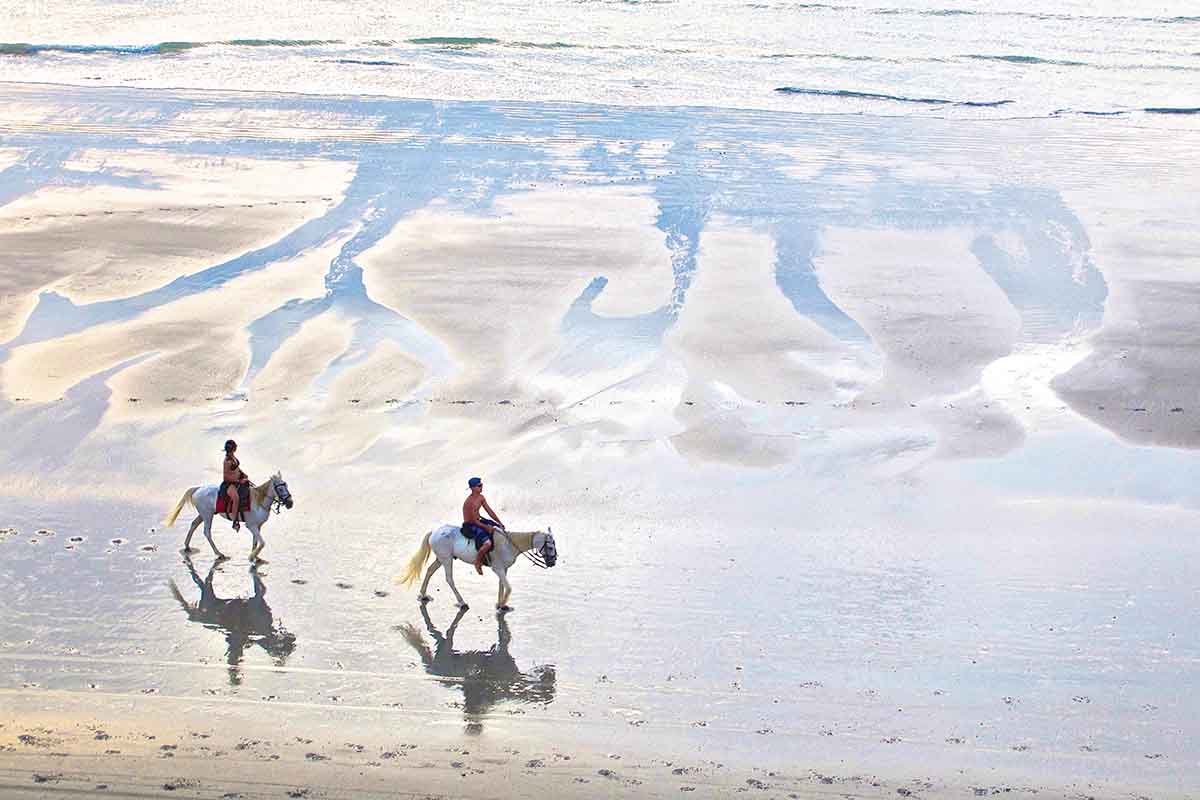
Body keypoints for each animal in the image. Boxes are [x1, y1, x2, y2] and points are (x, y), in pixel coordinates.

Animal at [163, 474, 294, 563]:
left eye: (287, 485)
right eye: (280, 488)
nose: (290, 503)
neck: (259, 501)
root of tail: (198, 488)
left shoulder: (258, 526)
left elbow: (256, 542)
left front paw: (255, 556)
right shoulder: (251, 525)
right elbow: (262, 542)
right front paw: (251, 556)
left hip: (203, 514)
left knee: (194, 524)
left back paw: (187, 546)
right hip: (207, 515)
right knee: (207, 532)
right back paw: (219, 554)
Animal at [398, 525, 556, 614]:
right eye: (549, 547)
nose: (552, 563)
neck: (509, 544)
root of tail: (435, 532)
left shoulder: (503, 570)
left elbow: (502, 586)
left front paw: (501, 604)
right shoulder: (498, 569)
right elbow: (508, 587)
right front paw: (501, 606)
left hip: (441, 559)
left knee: (430, 571)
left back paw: (423, 595)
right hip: (447, 559)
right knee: (449, 579)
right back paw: (462, 602)